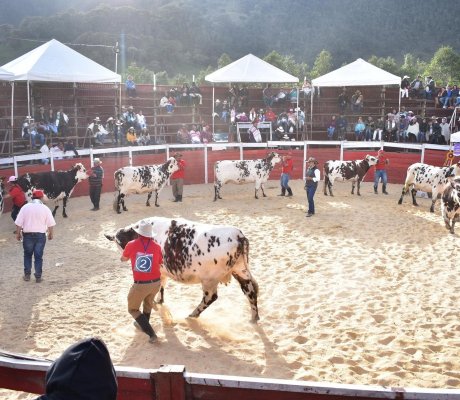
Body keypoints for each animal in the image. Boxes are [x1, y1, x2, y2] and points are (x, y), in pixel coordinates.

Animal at [105, 217, 260, 324]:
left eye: (120, 243)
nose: (122, 257)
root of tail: (238, 236)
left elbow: (158, 286)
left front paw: (156, 302)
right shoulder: (162, 271)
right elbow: (161, 286)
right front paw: (159, 300)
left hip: (209, 280)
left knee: (210, 298)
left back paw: (192, 315)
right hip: (240, 271)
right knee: (250, 291)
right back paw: (254, 318)